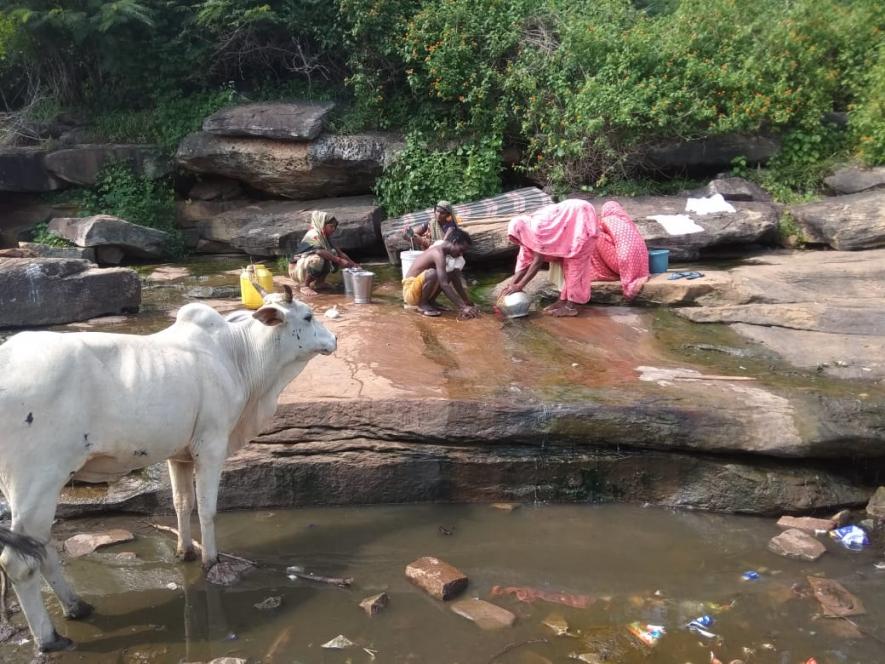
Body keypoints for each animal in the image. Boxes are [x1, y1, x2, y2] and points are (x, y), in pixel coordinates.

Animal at [0, 288, 334, 652]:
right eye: (307, 317)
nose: (333, 340)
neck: (238, 354)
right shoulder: (211, 445)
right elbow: (207, 510)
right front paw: (211, 561)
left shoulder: (180, 455)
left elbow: (181, 503)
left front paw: (184, 551)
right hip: (38, 480)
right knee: (18, 562)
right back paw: (49, 638)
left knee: (42, 548)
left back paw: (77, 606)